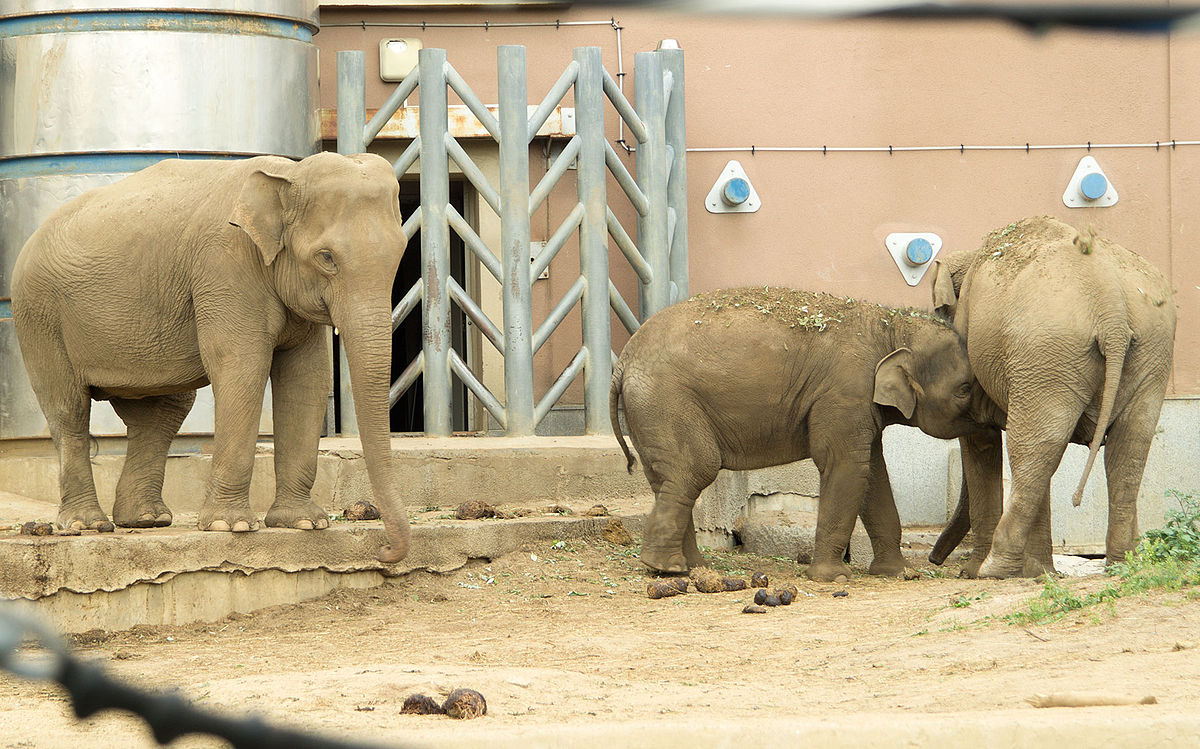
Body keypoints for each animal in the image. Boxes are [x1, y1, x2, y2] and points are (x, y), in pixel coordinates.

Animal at [9, 150, 415, 561]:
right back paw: (87, 525)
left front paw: (304, 523)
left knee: (162, 412)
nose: (384, 550)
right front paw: (231, 526)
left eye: (401, 254)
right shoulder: (225, 265)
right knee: (69, 408)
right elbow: (242, 366)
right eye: (326, 257)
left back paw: (146, 519)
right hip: (39, 315)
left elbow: (307, 379)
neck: (287, 174)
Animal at [614, 289, 988, 583]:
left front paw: (900, 574)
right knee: (694, 470)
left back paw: (690, 568)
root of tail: (624, 359)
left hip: (649, 413)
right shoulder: (844, 393)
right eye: (965, 389)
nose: (934, 562)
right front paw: (833, 578)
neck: (890, 325)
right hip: (666, 402)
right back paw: (668, 569)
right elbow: (845, 467)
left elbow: (872, 473)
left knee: (667, 479)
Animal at [926, 216, 1171, 578]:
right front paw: (1038, 573)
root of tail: (1110, 302)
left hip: (1046, 349)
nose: (934, 559)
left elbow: (981, 439)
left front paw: (973, 572)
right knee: (1127, 447)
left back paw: (993, 569)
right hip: (1149, 350)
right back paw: (1121, 563)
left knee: (1035, 448)